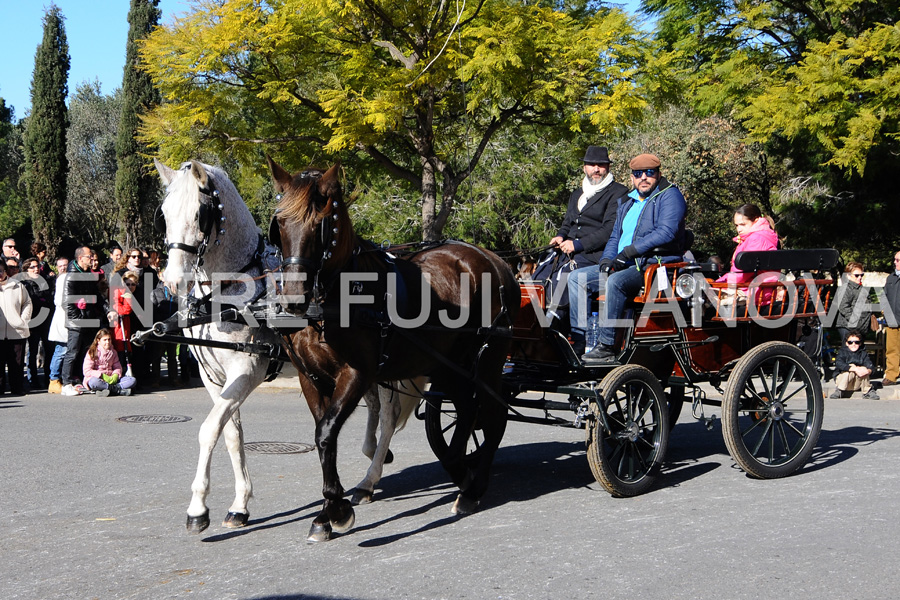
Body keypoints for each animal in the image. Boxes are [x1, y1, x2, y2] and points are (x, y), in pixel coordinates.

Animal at [154, 159, 418, 528]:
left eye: (200, 213)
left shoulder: (247, 371)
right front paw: (239, 504)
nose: (173, 280)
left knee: (390, 413)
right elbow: (231, 434)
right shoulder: (212, 377)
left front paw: (198, 509)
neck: (231, 291)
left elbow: (209, 430)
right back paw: (371, 453)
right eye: (163, 214)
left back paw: (369, 478)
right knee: (375, 406)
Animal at [268, 157, 516, 540]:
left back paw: (473, 489)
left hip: (488, 360)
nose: (294, 299)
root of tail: (492, 259)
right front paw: (327, 513)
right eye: (279, 223)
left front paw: (337, 509)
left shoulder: (356, 373)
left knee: (493, 415)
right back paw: (459, 471)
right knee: (466, 412)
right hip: (450, 365)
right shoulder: (310, 377)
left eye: (321, 223)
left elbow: (326, 432)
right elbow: (324, 434)